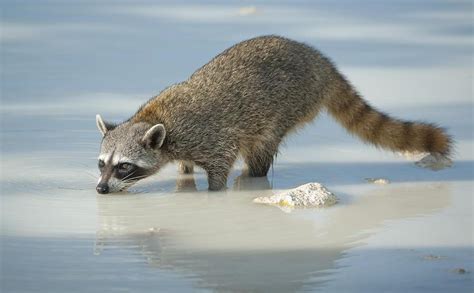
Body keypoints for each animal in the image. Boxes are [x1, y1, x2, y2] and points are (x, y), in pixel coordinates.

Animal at [93, 35, 452, 193]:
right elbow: (185, 166)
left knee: (261, 148)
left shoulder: (209, 136)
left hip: (290, 103)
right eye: (101, 163)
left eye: (124, 166)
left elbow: (221, 165)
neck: (158, 119)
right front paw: (184, 177)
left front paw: (212, 193)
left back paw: (252, 175)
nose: (100, 189)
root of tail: (321, 62)